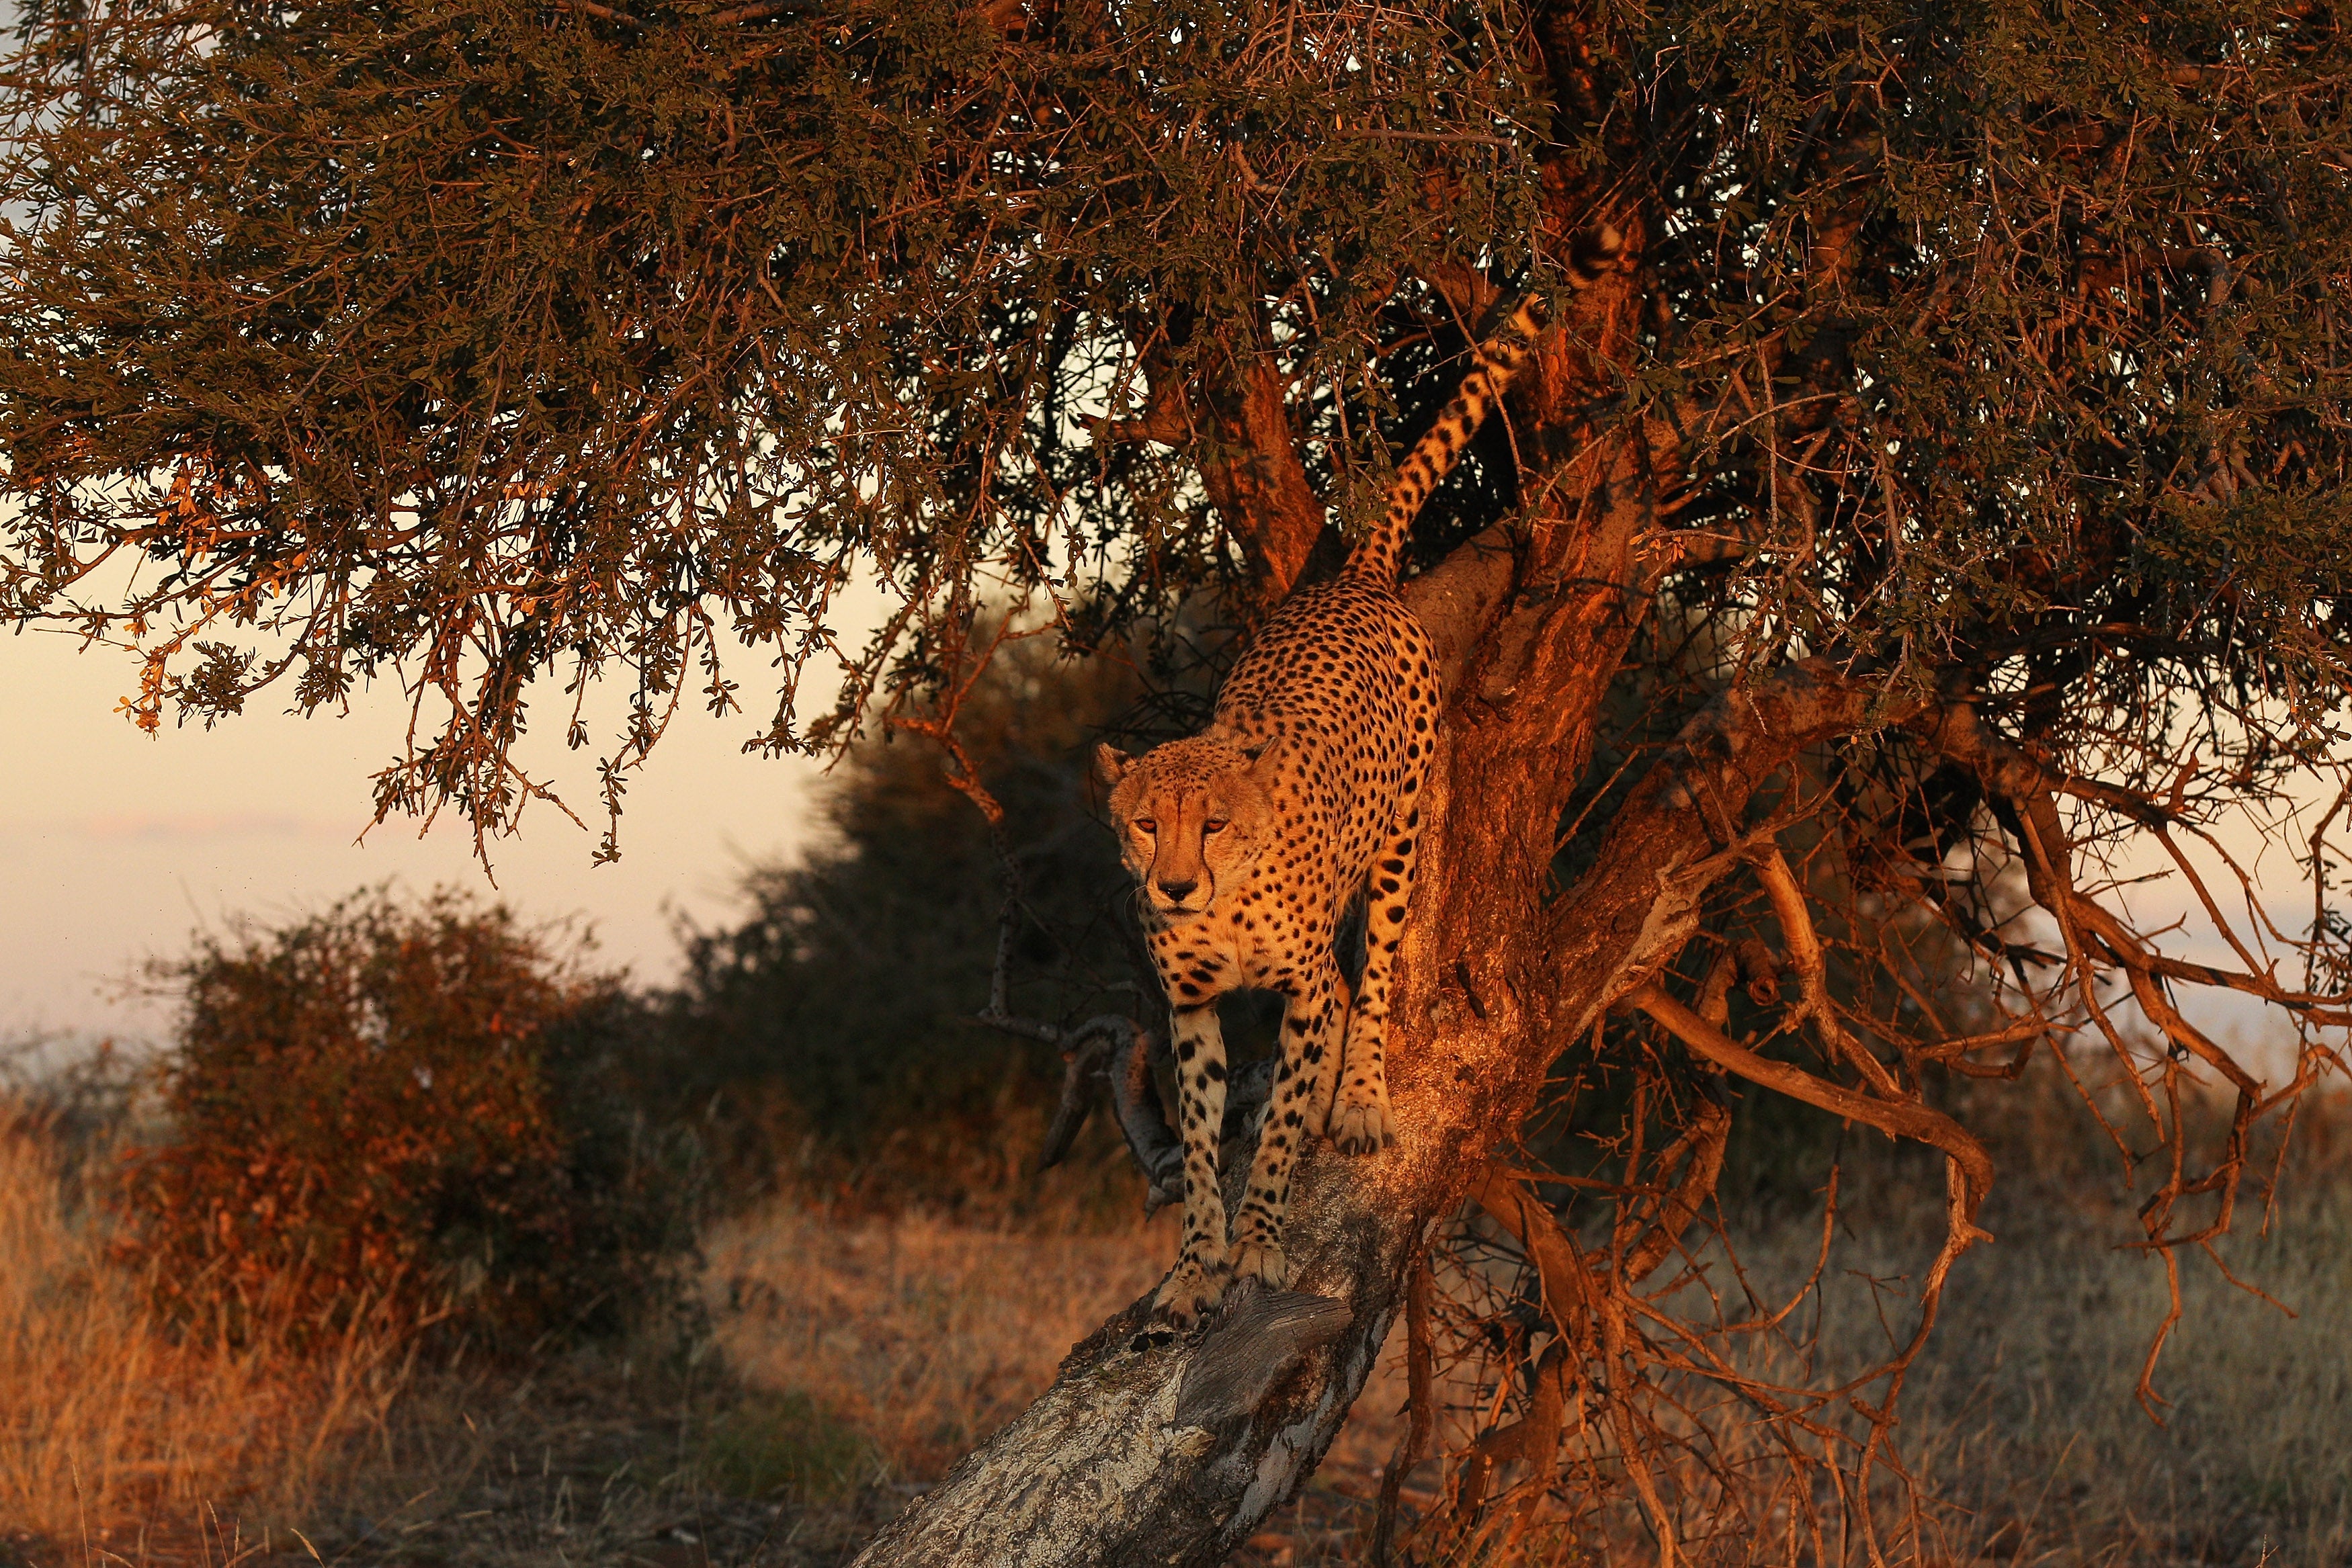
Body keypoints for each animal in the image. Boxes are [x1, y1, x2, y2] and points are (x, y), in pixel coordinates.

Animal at [1096, 290, 1554, 1326]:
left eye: (1213, 824)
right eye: (1145, 823)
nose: (1174, 888)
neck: (1224, 903)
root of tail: (1355, 577)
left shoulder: (1299, 984)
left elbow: (1273, 1127)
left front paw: (1260, 1239)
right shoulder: (1190, 1008)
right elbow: (1200, 1143)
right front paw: (1195, 1267)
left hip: (1398, 848)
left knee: (1373, 975)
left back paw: (1359, 1097)